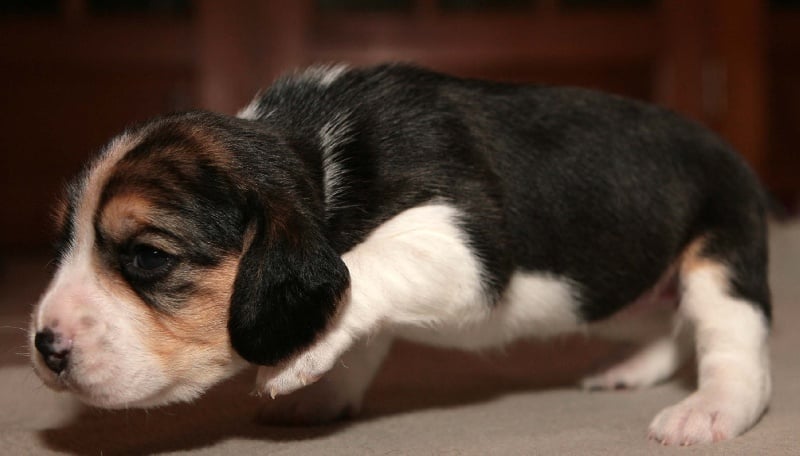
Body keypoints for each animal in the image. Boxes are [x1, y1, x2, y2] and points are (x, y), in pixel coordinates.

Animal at [30, 64, 771, 445]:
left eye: (148, 258)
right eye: (61, 242)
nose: (45, 347)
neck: (318, 158)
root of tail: (730, 148)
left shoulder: (463, 243)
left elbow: (363, 268)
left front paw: (302, 360)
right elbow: (360, 325)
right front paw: (325, 388)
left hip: (720, 259)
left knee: (732, 347)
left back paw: (710, 411)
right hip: (609, 285)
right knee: (664, 325)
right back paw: (629, 366)